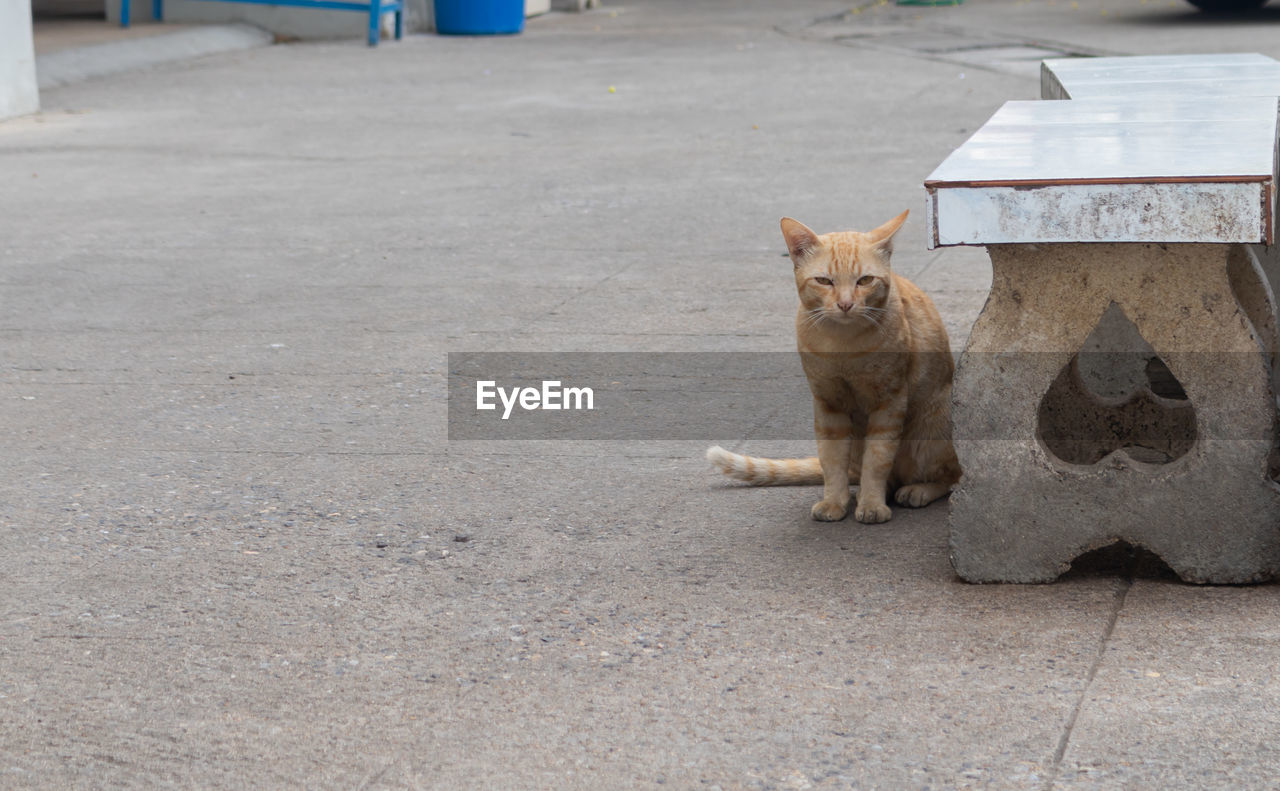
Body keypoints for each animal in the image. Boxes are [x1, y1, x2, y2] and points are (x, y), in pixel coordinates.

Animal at [711, 207, 962, 524]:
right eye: (824, 281)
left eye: (865, 281)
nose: (845, 304)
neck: (843, 345)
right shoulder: (827, 403)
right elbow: (831, 460)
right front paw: (834, 501)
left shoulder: (889, 402)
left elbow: (877, 459)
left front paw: (871, 504)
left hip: (935, 427)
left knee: (950, 476)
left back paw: (917, 490)